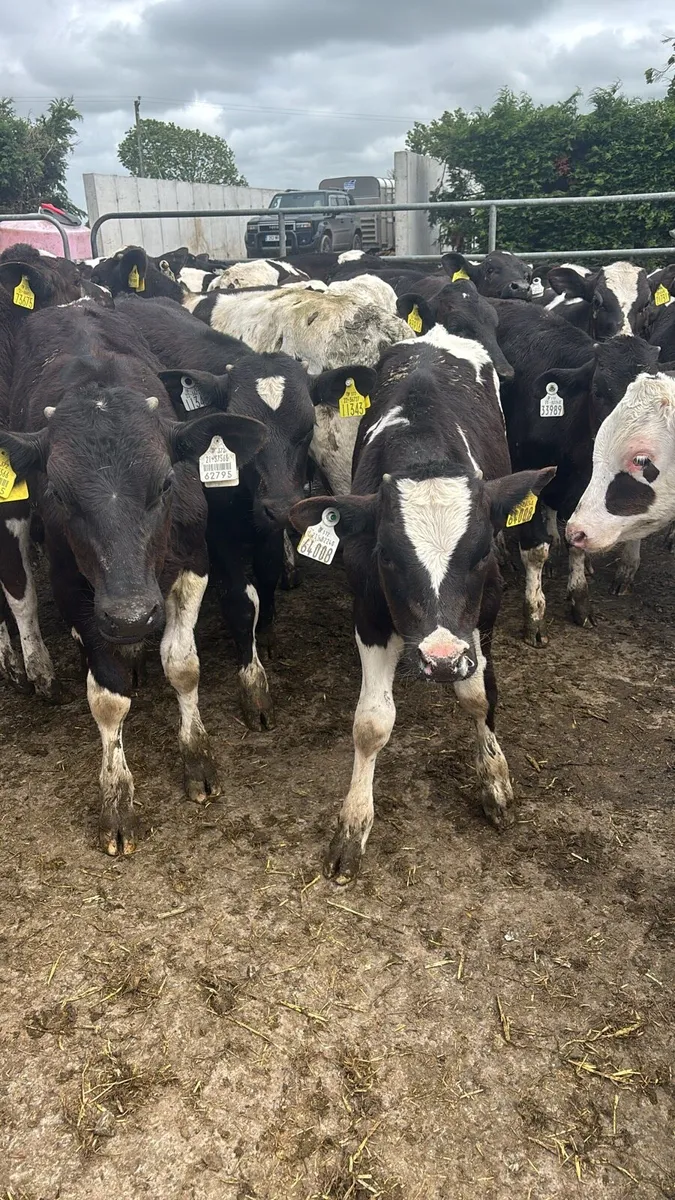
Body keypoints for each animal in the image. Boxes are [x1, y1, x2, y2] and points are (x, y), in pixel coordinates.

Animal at [0, 302, 265, 853]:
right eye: (57, 492)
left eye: (165, 482)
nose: (130, 616)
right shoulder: (76, 591)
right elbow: (107, 697)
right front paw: (117, 800)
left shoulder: (194, 559)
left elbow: (183, 664)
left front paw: (197, 758)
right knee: (19, 588)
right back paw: (37, 667)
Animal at [290, 325, 554, 883]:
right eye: (386, 556)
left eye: (482, 552)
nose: (441, 660)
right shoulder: (369, 611)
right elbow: (371, 723)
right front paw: (353, 825)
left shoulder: (484, 611)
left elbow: (479, 696)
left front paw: (494, 779)